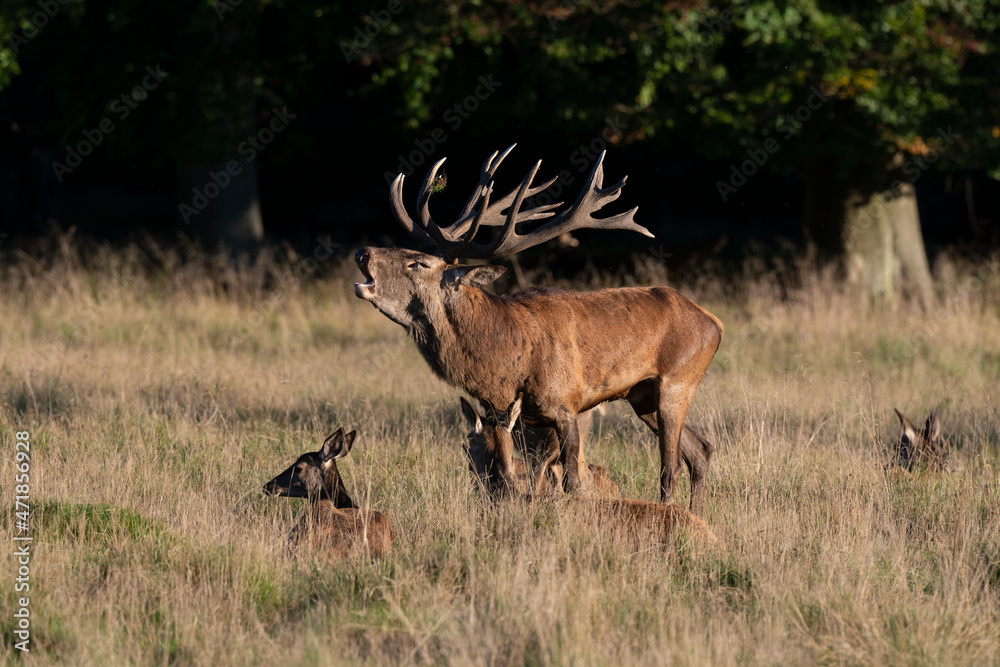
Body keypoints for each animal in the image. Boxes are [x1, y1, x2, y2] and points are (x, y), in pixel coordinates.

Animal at [355, 144, 723, 512]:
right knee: (700, 449)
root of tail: (714, 324)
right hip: (641, 394)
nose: (363, 252)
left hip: (678, 381)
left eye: (418, 263)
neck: (505, 365)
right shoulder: (511, 415)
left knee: (670, 466)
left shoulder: (566, 403)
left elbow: (571, 480)